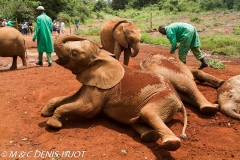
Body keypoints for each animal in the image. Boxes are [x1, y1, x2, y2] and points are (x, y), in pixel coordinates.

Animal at [40, 34, 188, 151]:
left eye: (74, 53)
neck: (101, 58)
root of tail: (180, 102)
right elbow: (71, 98)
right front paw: (45, 113)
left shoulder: (103, 88)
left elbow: (88, 108)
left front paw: (53, 124)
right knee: (137, 119)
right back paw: (148, 135)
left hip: (165, 99)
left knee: (148, 113)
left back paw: (171, 143)